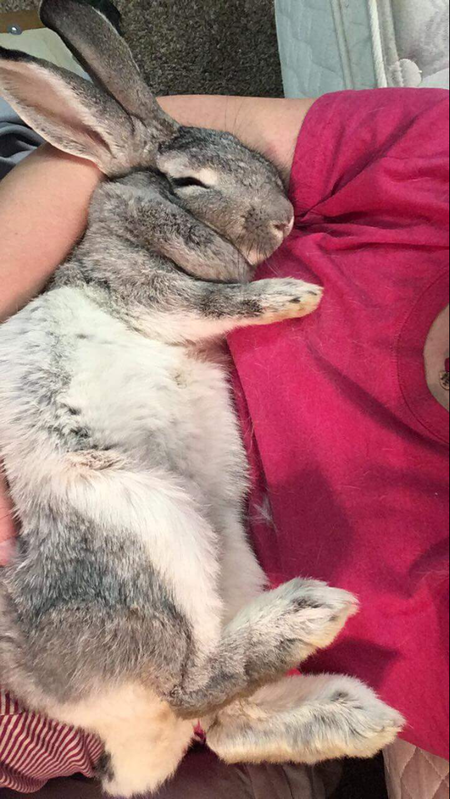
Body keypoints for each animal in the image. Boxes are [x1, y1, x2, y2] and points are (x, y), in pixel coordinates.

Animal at [0, 1, 404, 796]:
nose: (283, 220)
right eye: (188, 182)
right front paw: (293, 295)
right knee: (192, 688)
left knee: (223, 723)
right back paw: (309, 615)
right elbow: (213, 302)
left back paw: (353, 714)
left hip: (225, 548)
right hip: (148, 518)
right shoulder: (148, 292)